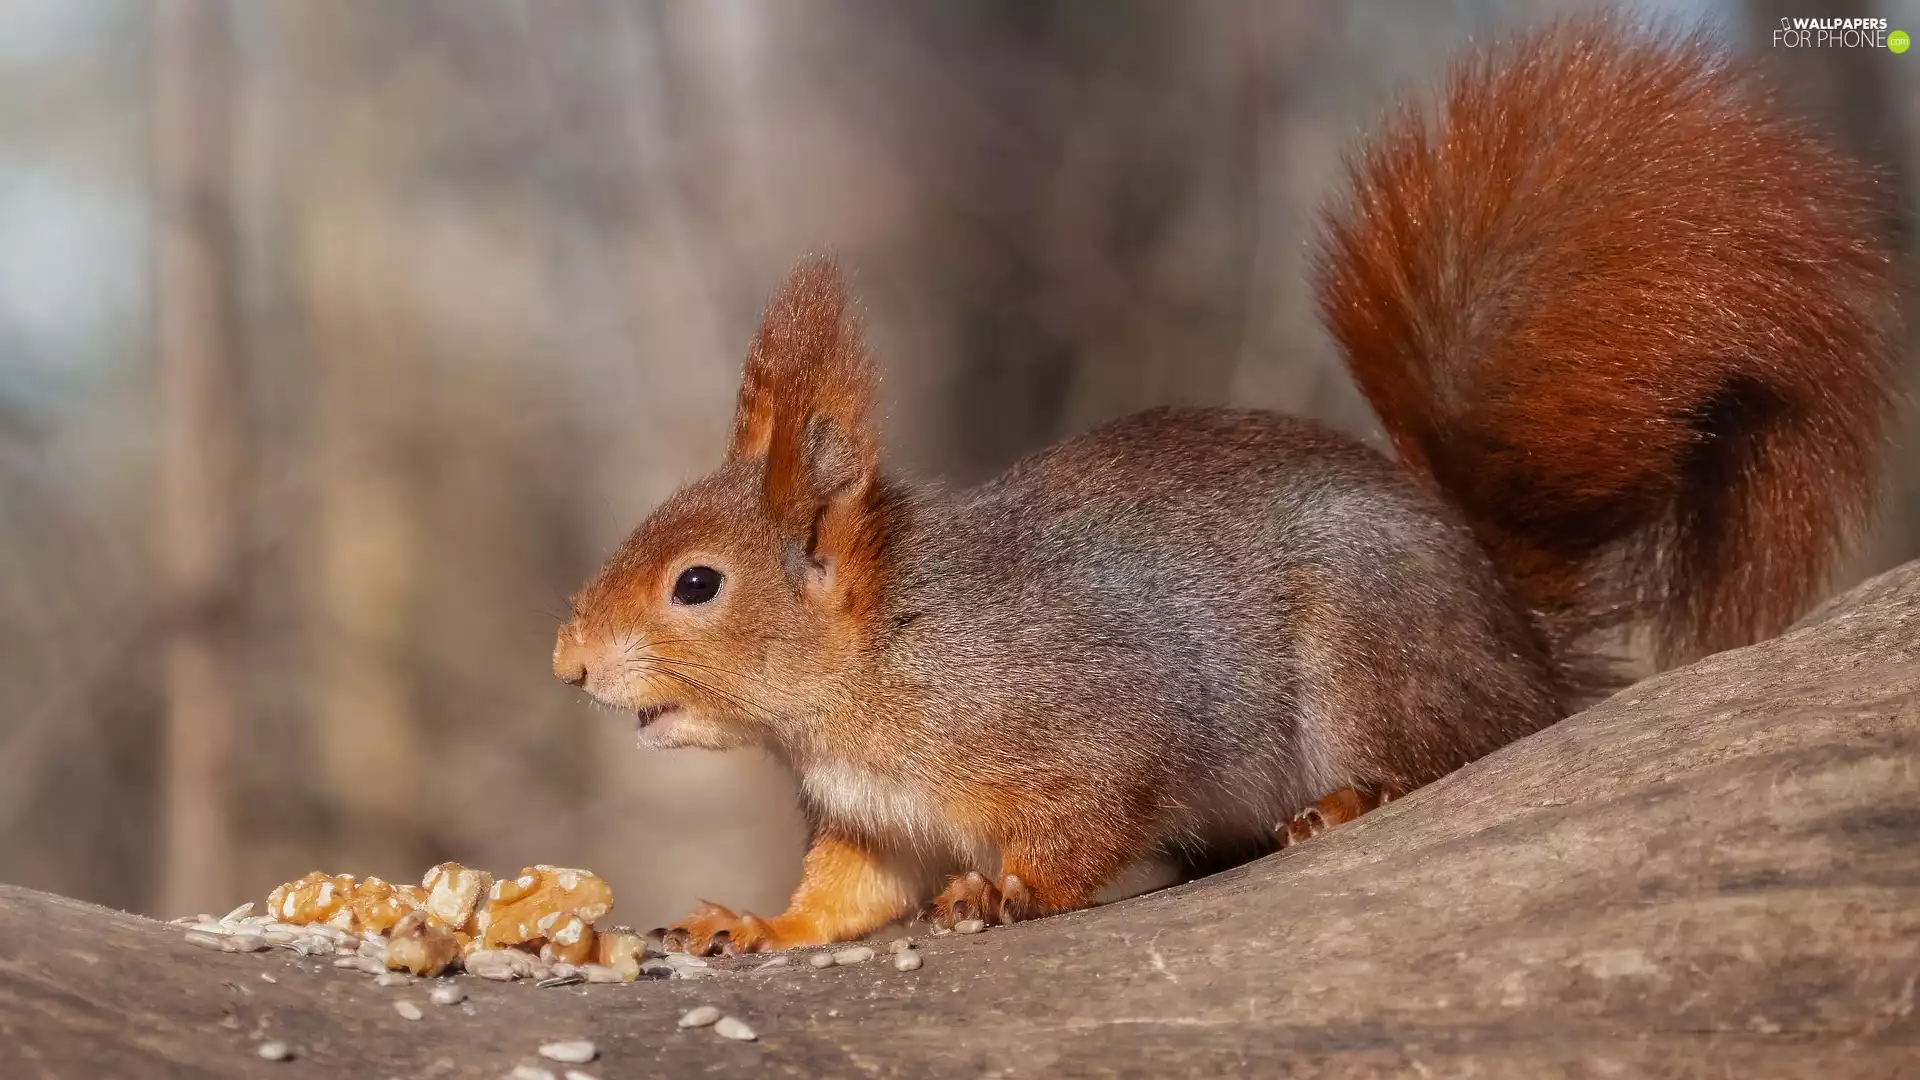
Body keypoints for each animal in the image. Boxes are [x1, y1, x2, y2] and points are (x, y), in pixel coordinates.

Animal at [552, 17, 1899, 954]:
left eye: (696, 585)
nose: (569, 666)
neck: (874, 664)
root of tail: (1518, 641)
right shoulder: (875, 818)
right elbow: (848, 896)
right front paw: (751, 925)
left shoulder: (1082, 717)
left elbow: (1090, 815)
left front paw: (1009, 891)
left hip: (1374, 658)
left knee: (1452, 753)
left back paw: (1349, 805)